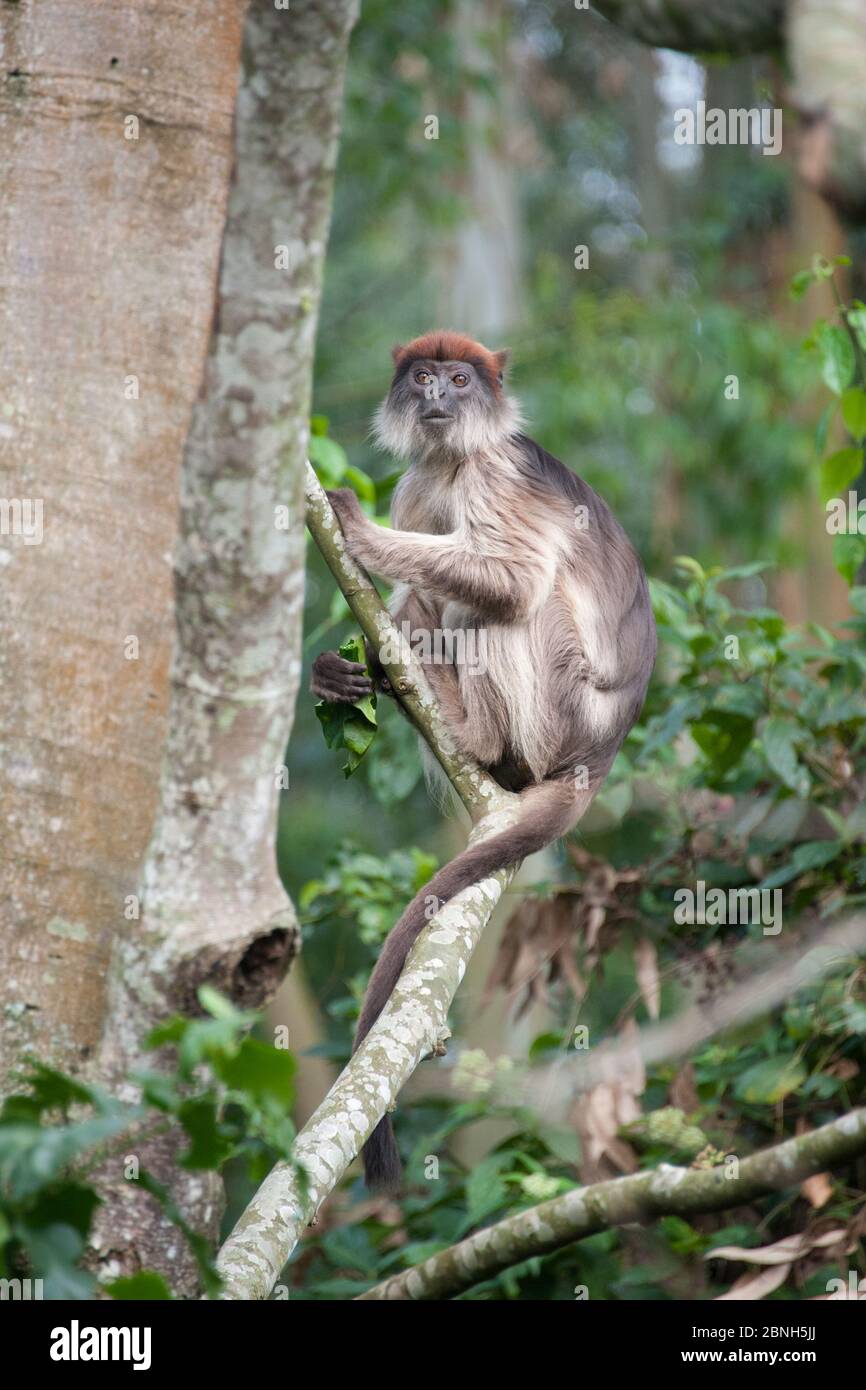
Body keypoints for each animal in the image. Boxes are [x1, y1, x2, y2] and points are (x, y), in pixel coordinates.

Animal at [308, 330, 653, 1189]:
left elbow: (514, 579)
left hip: (560, 710)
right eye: (426, 377)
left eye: (462, 380)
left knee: (513, 603)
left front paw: (358, 532)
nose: (440, 395)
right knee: (433, 601)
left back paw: (476, 735)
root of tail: (598, 757)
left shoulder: (498, 473)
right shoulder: (421, 480)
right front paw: (336, 673)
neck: (454, 457)